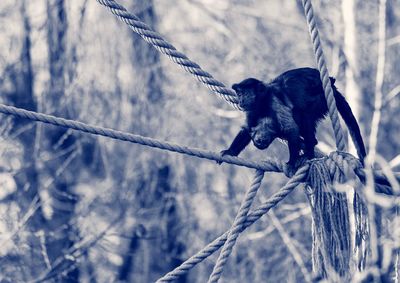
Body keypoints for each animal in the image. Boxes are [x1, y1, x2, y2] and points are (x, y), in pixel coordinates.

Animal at [220, 67, 368, 168]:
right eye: (239, 94)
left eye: (243, 94)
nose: (240, 101)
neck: (262, 102)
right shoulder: (252, 110)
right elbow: (247, 129)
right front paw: (230, 152)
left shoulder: (273, 101)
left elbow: (291, 129)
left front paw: (291, 163)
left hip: (320, 100)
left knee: (303, 114)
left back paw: (309, 151)